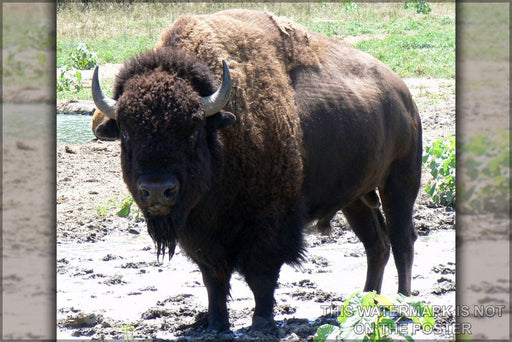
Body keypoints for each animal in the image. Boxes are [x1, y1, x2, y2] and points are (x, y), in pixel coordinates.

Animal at [90, 9, 422, 332]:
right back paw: (364, 303)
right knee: (376, 245)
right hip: (356, 199)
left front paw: (261, 322)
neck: (222, 135)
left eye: (193, 130)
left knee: (402, 240)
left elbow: (261, 275)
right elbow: (214, 278)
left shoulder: (268, 223)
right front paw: (216, 324)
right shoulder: (201, 234)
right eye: (127, 133)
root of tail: (403, 94)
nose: (158, 190)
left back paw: (401, 304)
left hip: (399, 184)